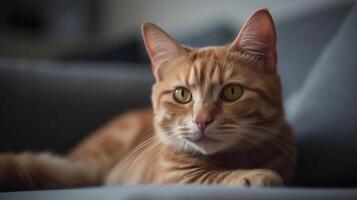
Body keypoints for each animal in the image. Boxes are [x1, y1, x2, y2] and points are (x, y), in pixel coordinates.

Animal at [0, 9, 294, 191]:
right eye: (182, 94)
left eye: (232, 92)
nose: (201, 120)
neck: (228, 160)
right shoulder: (173, 178)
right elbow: (210, 178)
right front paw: (254, 175)